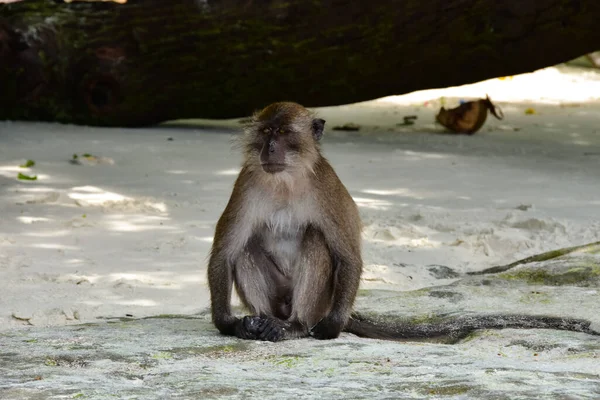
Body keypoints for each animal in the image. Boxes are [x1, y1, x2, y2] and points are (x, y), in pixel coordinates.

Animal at [207, 101, 600, 342]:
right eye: (265, 133)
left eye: (285, 134)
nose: (269, 150)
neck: (286, 181)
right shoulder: (248, 182)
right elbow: (225, 253)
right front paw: (229, 323)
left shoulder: (325, 188)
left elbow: (347, 256)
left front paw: (330, 329)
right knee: (247, 249)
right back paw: (261, 321)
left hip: (322, 300)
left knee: (315, 240)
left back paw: (295, 326)